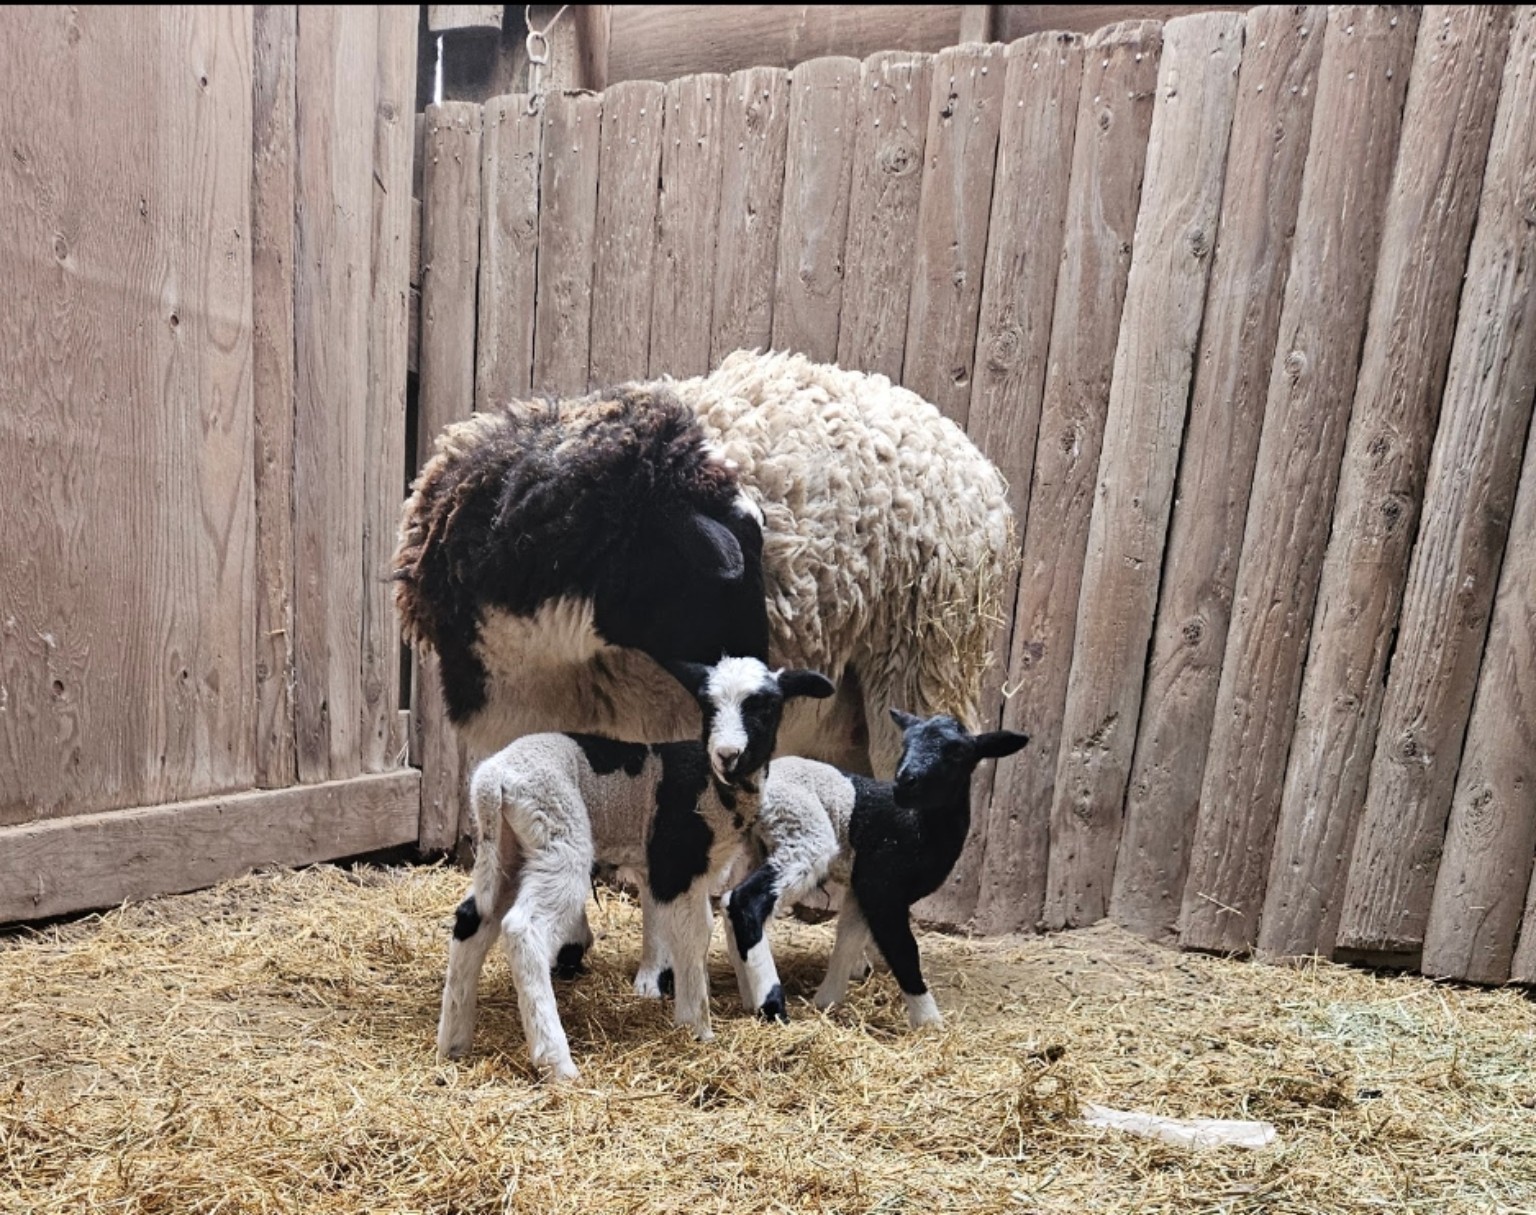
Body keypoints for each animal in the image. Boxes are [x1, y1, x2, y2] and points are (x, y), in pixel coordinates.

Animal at [434, 654, 835, 1082]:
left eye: (764, 707)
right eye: (708, 706)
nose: (727, 754)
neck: (713, 786)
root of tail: (494, 780)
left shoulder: (692, 876)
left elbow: (699, 931)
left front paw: (694, 1021)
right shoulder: (674, 867)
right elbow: (688, 936)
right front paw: (695, 1025)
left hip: (507, 849)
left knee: (472, 918)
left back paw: (454, 1042)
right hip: (558, 835)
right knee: (523, 927)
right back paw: (557, 1061)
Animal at [719, 710, 1030, 1028]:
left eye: (957, 751)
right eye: (905, 742)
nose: (905, 780)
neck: (918, 825)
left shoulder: (863, 886)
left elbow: (848, 938)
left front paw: (827, 1000)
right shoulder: (881, 884)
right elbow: (903, 948)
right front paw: (928, 1021)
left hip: (761, 845)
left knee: (730, 901)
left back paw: (749, 999)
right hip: (804, 834)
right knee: (746, 900)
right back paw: (772, 1006)